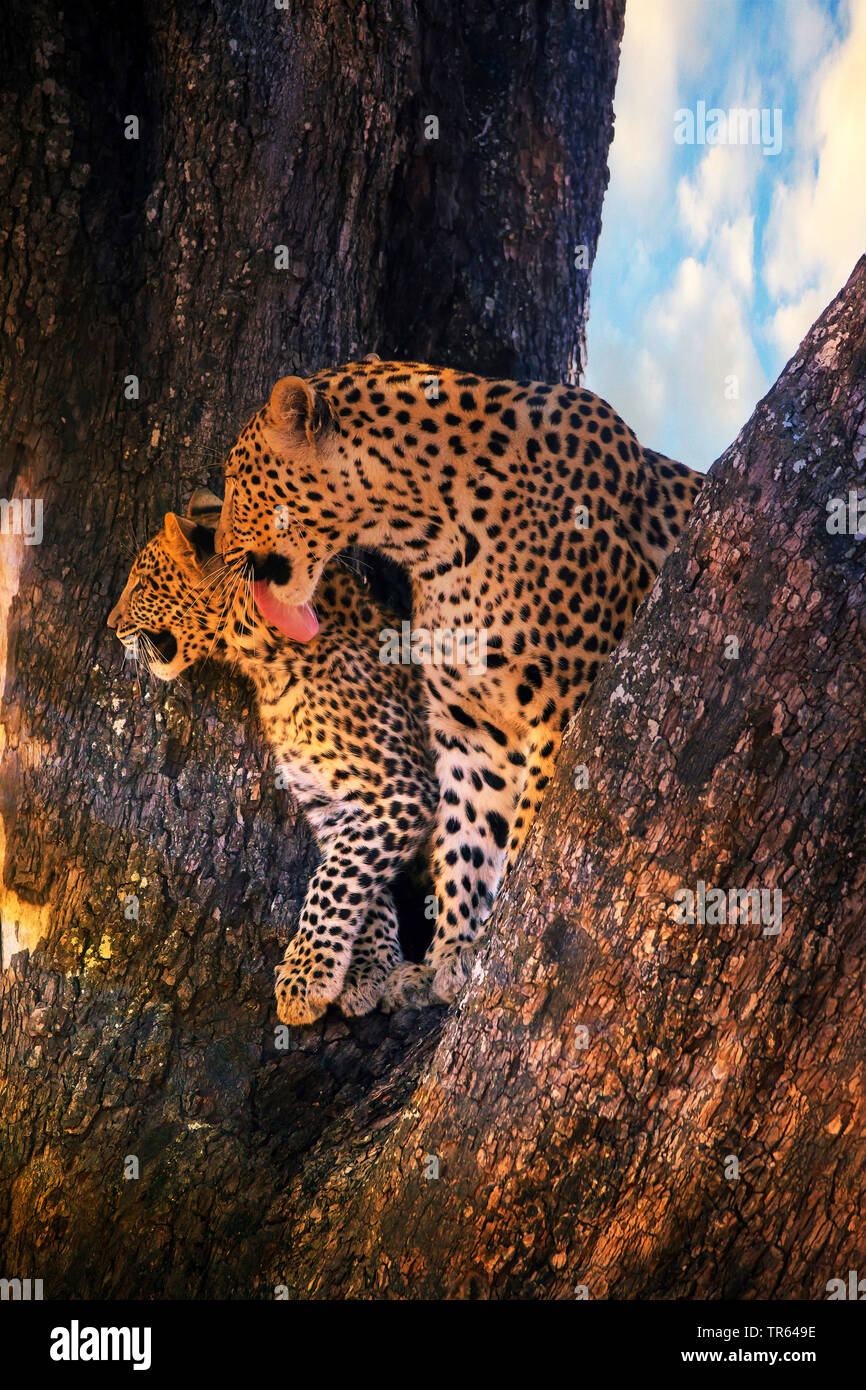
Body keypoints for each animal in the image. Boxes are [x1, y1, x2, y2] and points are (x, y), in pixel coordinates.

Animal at [216, 364, 706, 1006]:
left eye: (233, 482)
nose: (218, 551)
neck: (431, 538)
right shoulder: (472, 728)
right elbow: (468, 840)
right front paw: (450, 953)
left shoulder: (565, 704)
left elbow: (525, 835)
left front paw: (497, 932)